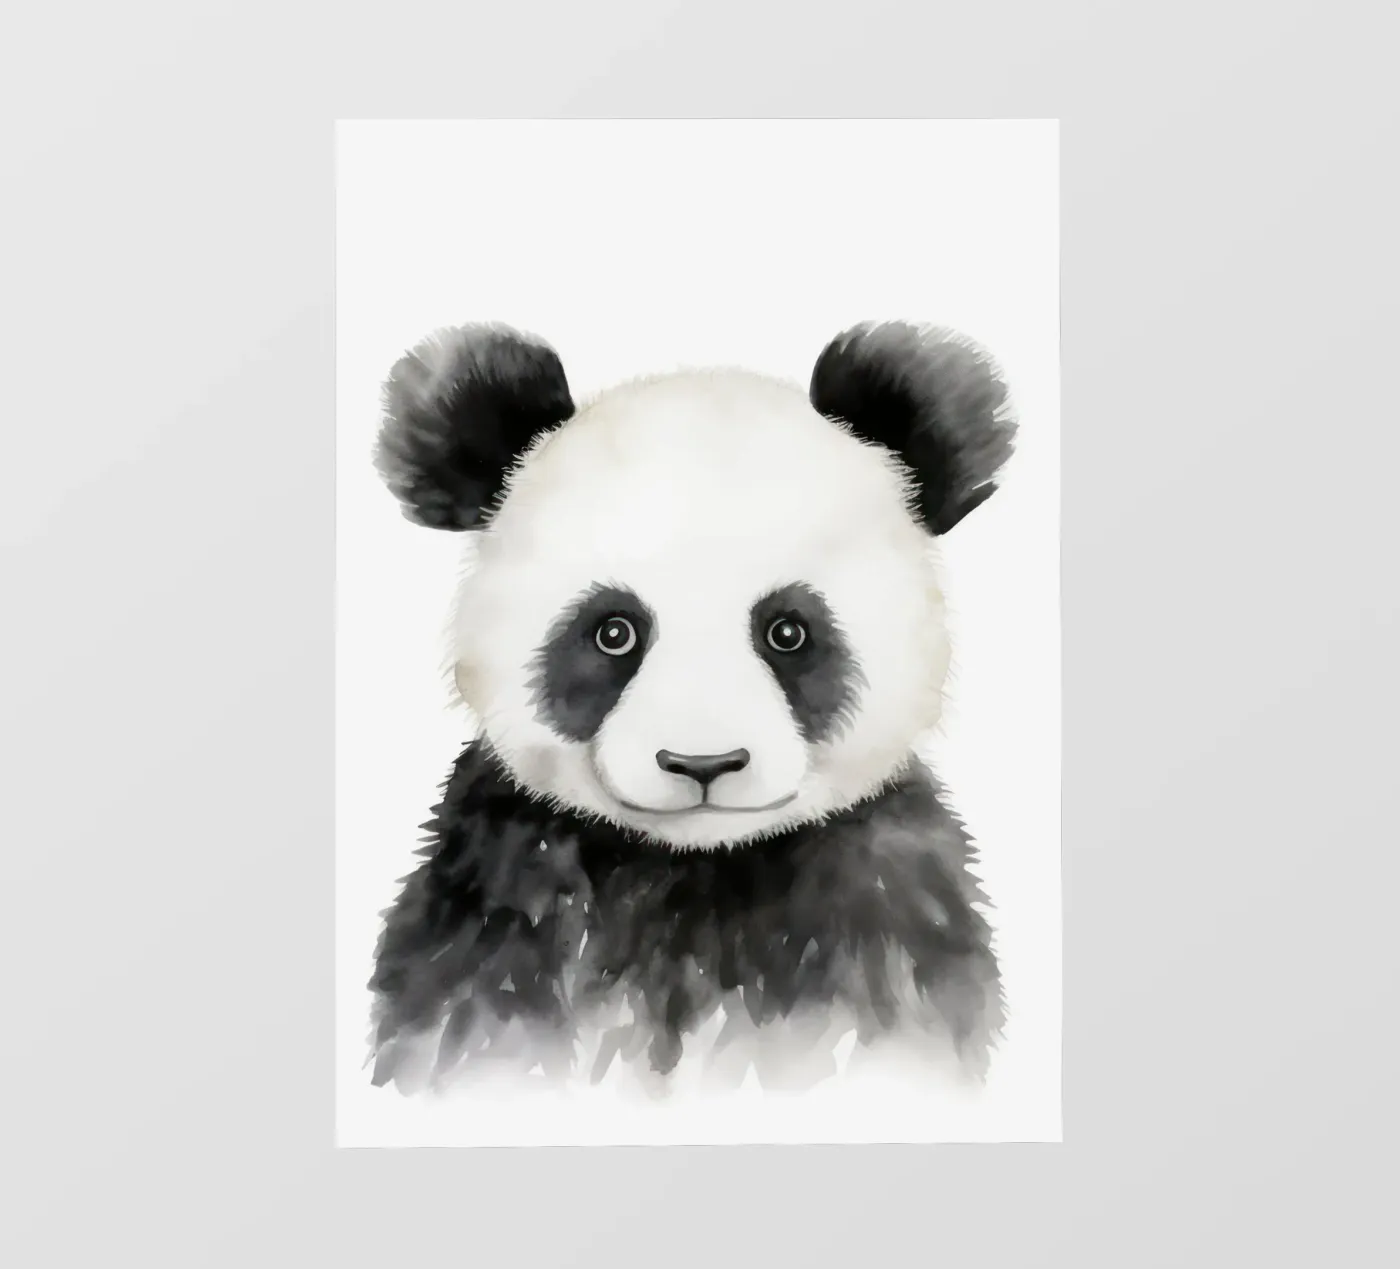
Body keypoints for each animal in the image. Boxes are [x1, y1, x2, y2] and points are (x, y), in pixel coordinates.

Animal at [367, 320, 1016, 1095]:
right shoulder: (499, 897)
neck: (694, 870)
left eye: (788, 631)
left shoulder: (885, 905)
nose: (703, 763)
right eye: (613, 632)